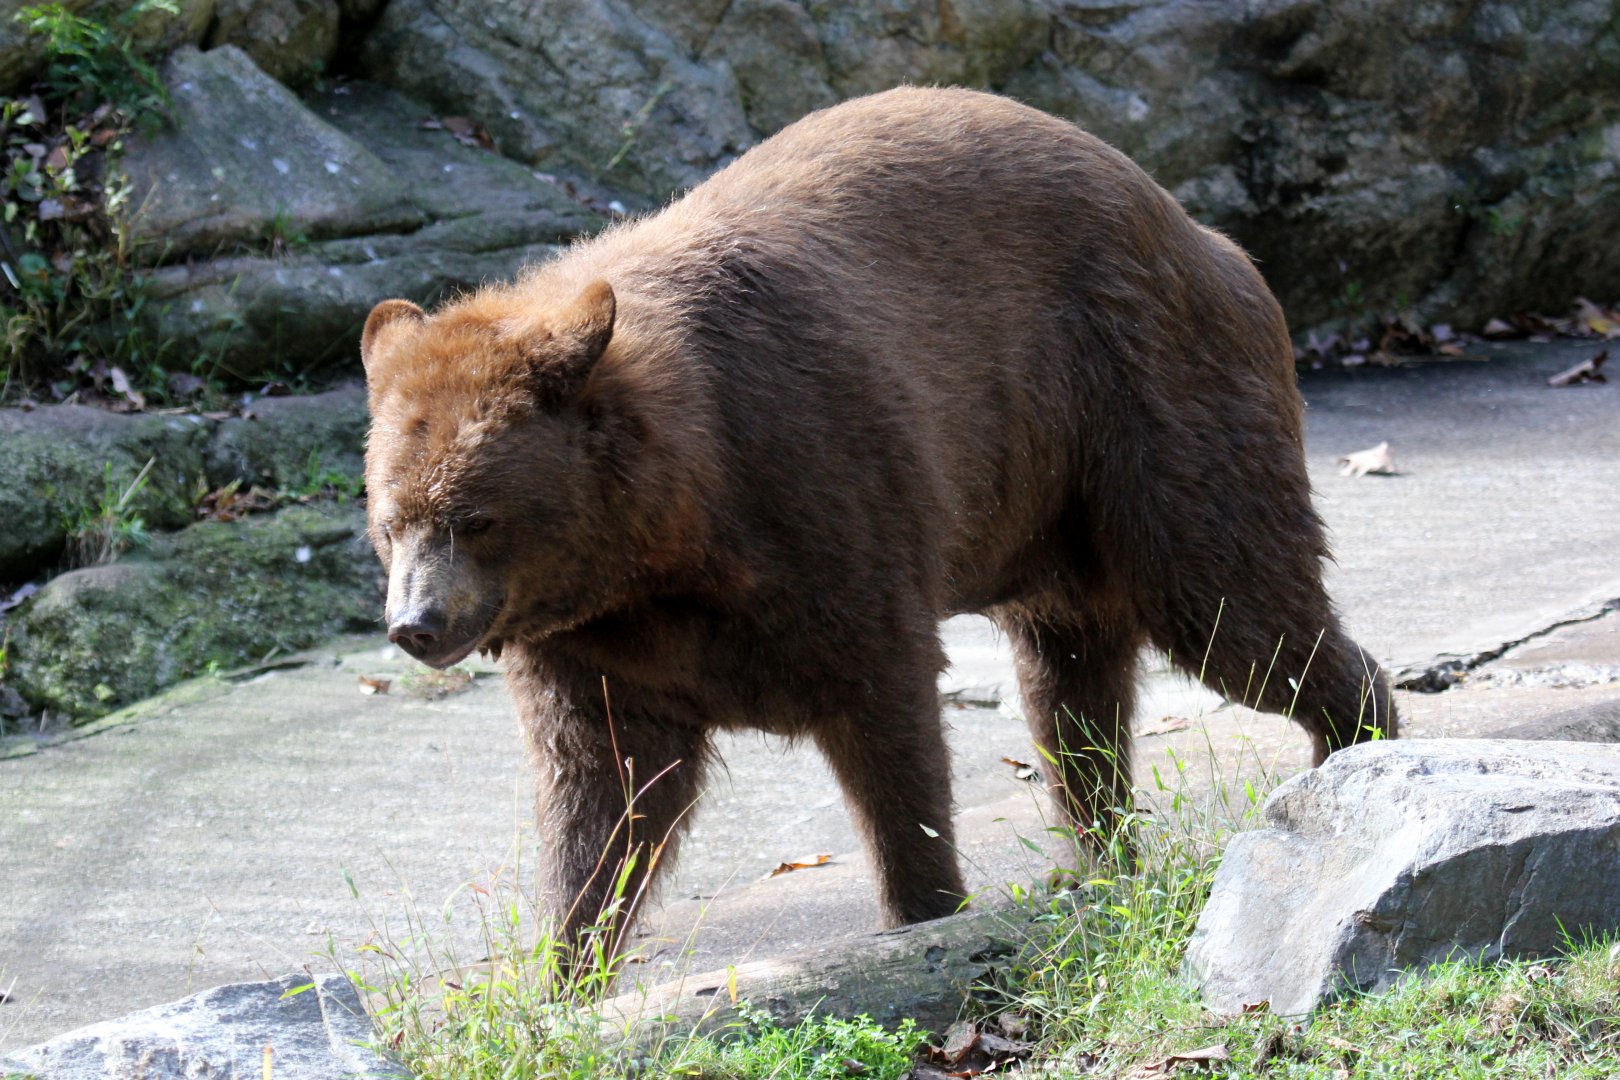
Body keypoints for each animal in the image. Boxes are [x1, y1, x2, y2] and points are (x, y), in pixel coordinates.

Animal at [359, 86, 1396, 956]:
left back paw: (1356, 749)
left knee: (1231, 604)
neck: (677, 525)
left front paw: (923, 907)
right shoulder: (602, 642)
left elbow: (885, 721)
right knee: (1071, 692)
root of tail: (1198, 229)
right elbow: (605, 795)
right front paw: (564, 958)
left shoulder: (823, 491)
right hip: (1051, 507)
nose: (417, 625)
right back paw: (1099, 858)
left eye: (475, 516)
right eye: (390, 519)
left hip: (1144, 405)